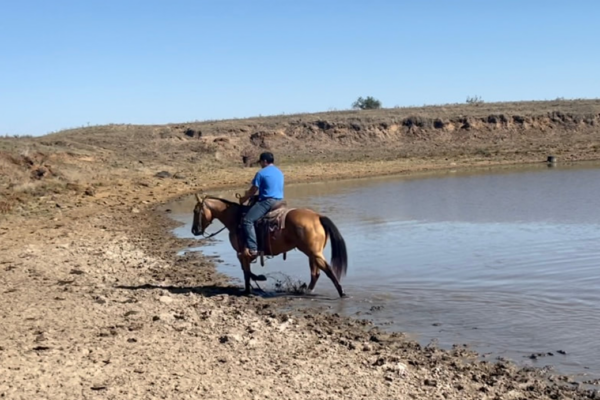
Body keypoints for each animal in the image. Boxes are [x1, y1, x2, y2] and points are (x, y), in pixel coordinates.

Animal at [190, 194, 350, 296]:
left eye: (196, 211)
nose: (194, 230)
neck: (236, 219)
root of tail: (318, 216)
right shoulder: (243, 254)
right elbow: (246, 271)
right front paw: (254, 283)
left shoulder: (242, 253)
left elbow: (246, 272)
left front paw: (249, 289)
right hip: (313, 254)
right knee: (315, 273)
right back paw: (307, 290)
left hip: (313, 253)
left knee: (327, 270)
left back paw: (341, 292)